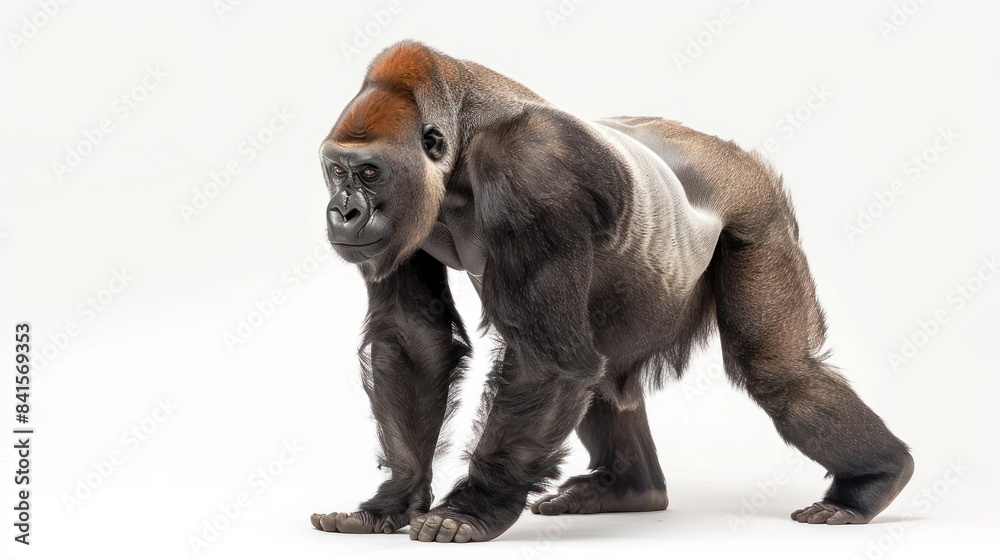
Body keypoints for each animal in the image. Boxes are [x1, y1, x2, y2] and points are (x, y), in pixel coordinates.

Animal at [310, 40, 914, 543]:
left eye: (369, 172)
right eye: (336, 170)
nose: (342, 212)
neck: (461, 145)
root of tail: (722, 149)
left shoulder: (532, 170)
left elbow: (545, 362)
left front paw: (474, 506)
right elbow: (415, 340)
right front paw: (394, 499)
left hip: (756, 204)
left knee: (778, 371)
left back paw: (874, 481)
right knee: (601, 365)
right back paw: (632, 487)